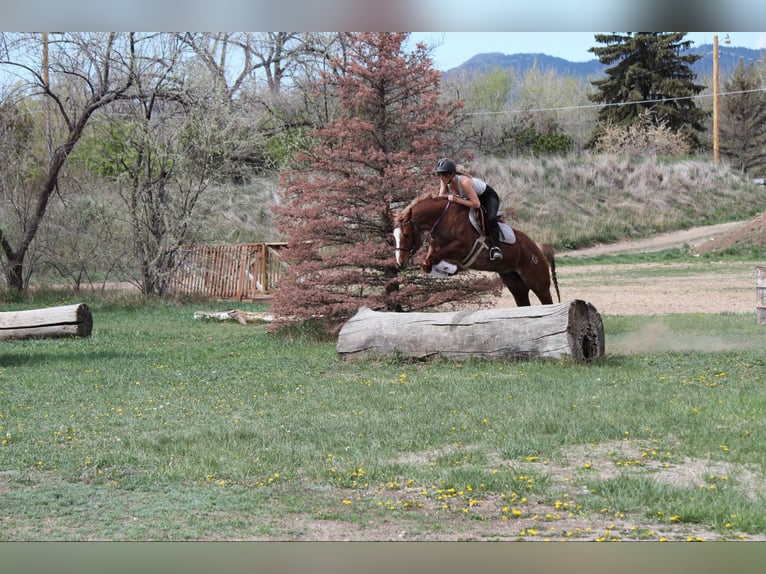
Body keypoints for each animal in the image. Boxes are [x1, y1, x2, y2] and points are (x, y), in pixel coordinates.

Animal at [393, 194, 560, 306]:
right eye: (394, 236)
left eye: (406, 235)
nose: (400, 262)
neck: (443, 218)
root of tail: (538, 247)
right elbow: (427, 263)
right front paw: (446, 270)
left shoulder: (461, 247)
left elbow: (433, 259)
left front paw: (447, 269)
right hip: (515, 283)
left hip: (537, 282)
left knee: (547, 301)